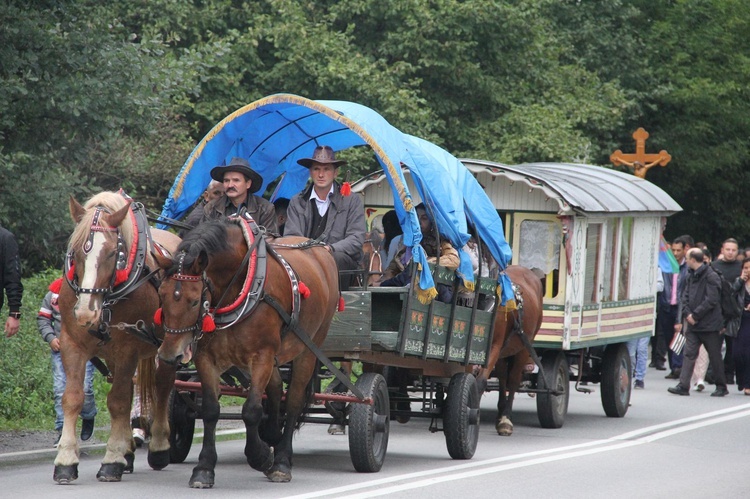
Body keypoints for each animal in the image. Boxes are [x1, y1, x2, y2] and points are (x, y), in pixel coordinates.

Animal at [53, 191, 181, 484]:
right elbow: (72, 398)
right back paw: (128, 452)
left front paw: (111, 460)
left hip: (170, 346)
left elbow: (119, 401)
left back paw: (158, 446)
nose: (85, 311)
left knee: (162, 387)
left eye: (114, 253)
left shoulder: (127, 350)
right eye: (75, 252)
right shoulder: (71, 343)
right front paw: (66, 460)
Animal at [154, 218, 340, 488]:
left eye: (193, 301)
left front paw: (260, 456)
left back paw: (281, 461)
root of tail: (319, 248)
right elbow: (210, 410)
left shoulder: (262, 356)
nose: (170, 355)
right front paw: (204, 468)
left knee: (293, 400)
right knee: (276, 388)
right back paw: (272, 434)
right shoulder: (206, 358)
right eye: (162, 295)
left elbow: (251, 410)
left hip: (308, 348)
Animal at [476, 266, 548, 438]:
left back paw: (505, 418)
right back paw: (501, 412)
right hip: (506, 351)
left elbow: (480, 381)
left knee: (514, 379)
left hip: (524, 345)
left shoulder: (494, 347)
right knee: (503, 377)